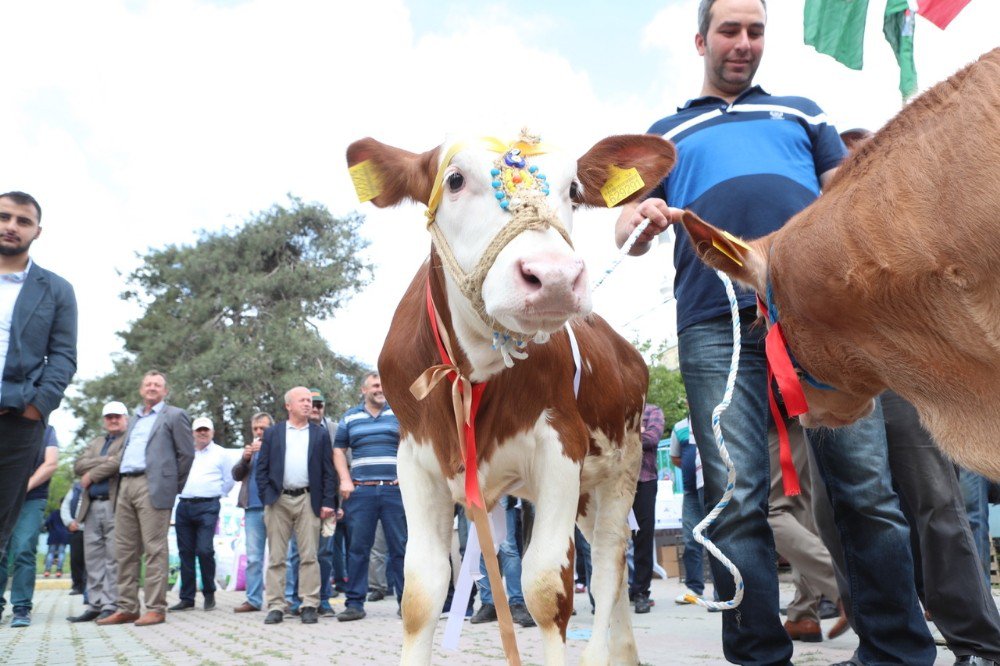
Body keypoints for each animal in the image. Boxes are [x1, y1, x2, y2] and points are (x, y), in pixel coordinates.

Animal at [348, 132, 676, 660]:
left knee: (608, 566)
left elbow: (545, 589)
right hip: (586, 494)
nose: (555, 276)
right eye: (455, 180)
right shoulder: (414, 461)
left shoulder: (560, 447)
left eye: (574, 189)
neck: (472, 372)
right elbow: (420, 594)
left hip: (620, 469)